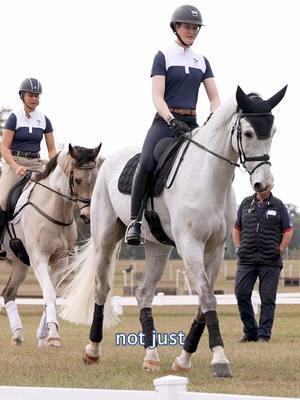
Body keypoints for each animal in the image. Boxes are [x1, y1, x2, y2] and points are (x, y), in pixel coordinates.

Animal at [0, 144, 101, 346]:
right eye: (77, 180)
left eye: (95, 177)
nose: (87, 216)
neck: (55, 209)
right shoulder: (39, 259)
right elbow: (49, 294)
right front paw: (53, 335)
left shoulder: (60, 259)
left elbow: (52, 294)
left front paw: (43, 336)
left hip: (20, 264)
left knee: (8, 292)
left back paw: (17, 334)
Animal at [58, 86, 286, 376]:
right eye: (247, 133)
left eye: (274, 131)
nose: (263, 184)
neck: (207, 176)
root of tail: (108, 162)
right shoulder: (190, 245)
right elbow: (208, 298)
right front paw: (220, 359)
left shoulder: (214, 250)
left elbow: (203, 301)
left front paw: (184, 359)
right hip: (106, 238)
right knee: (101, 287)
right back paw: (92, 350)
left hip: (158, 247)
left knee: (144, 293)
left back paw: (151, 356)